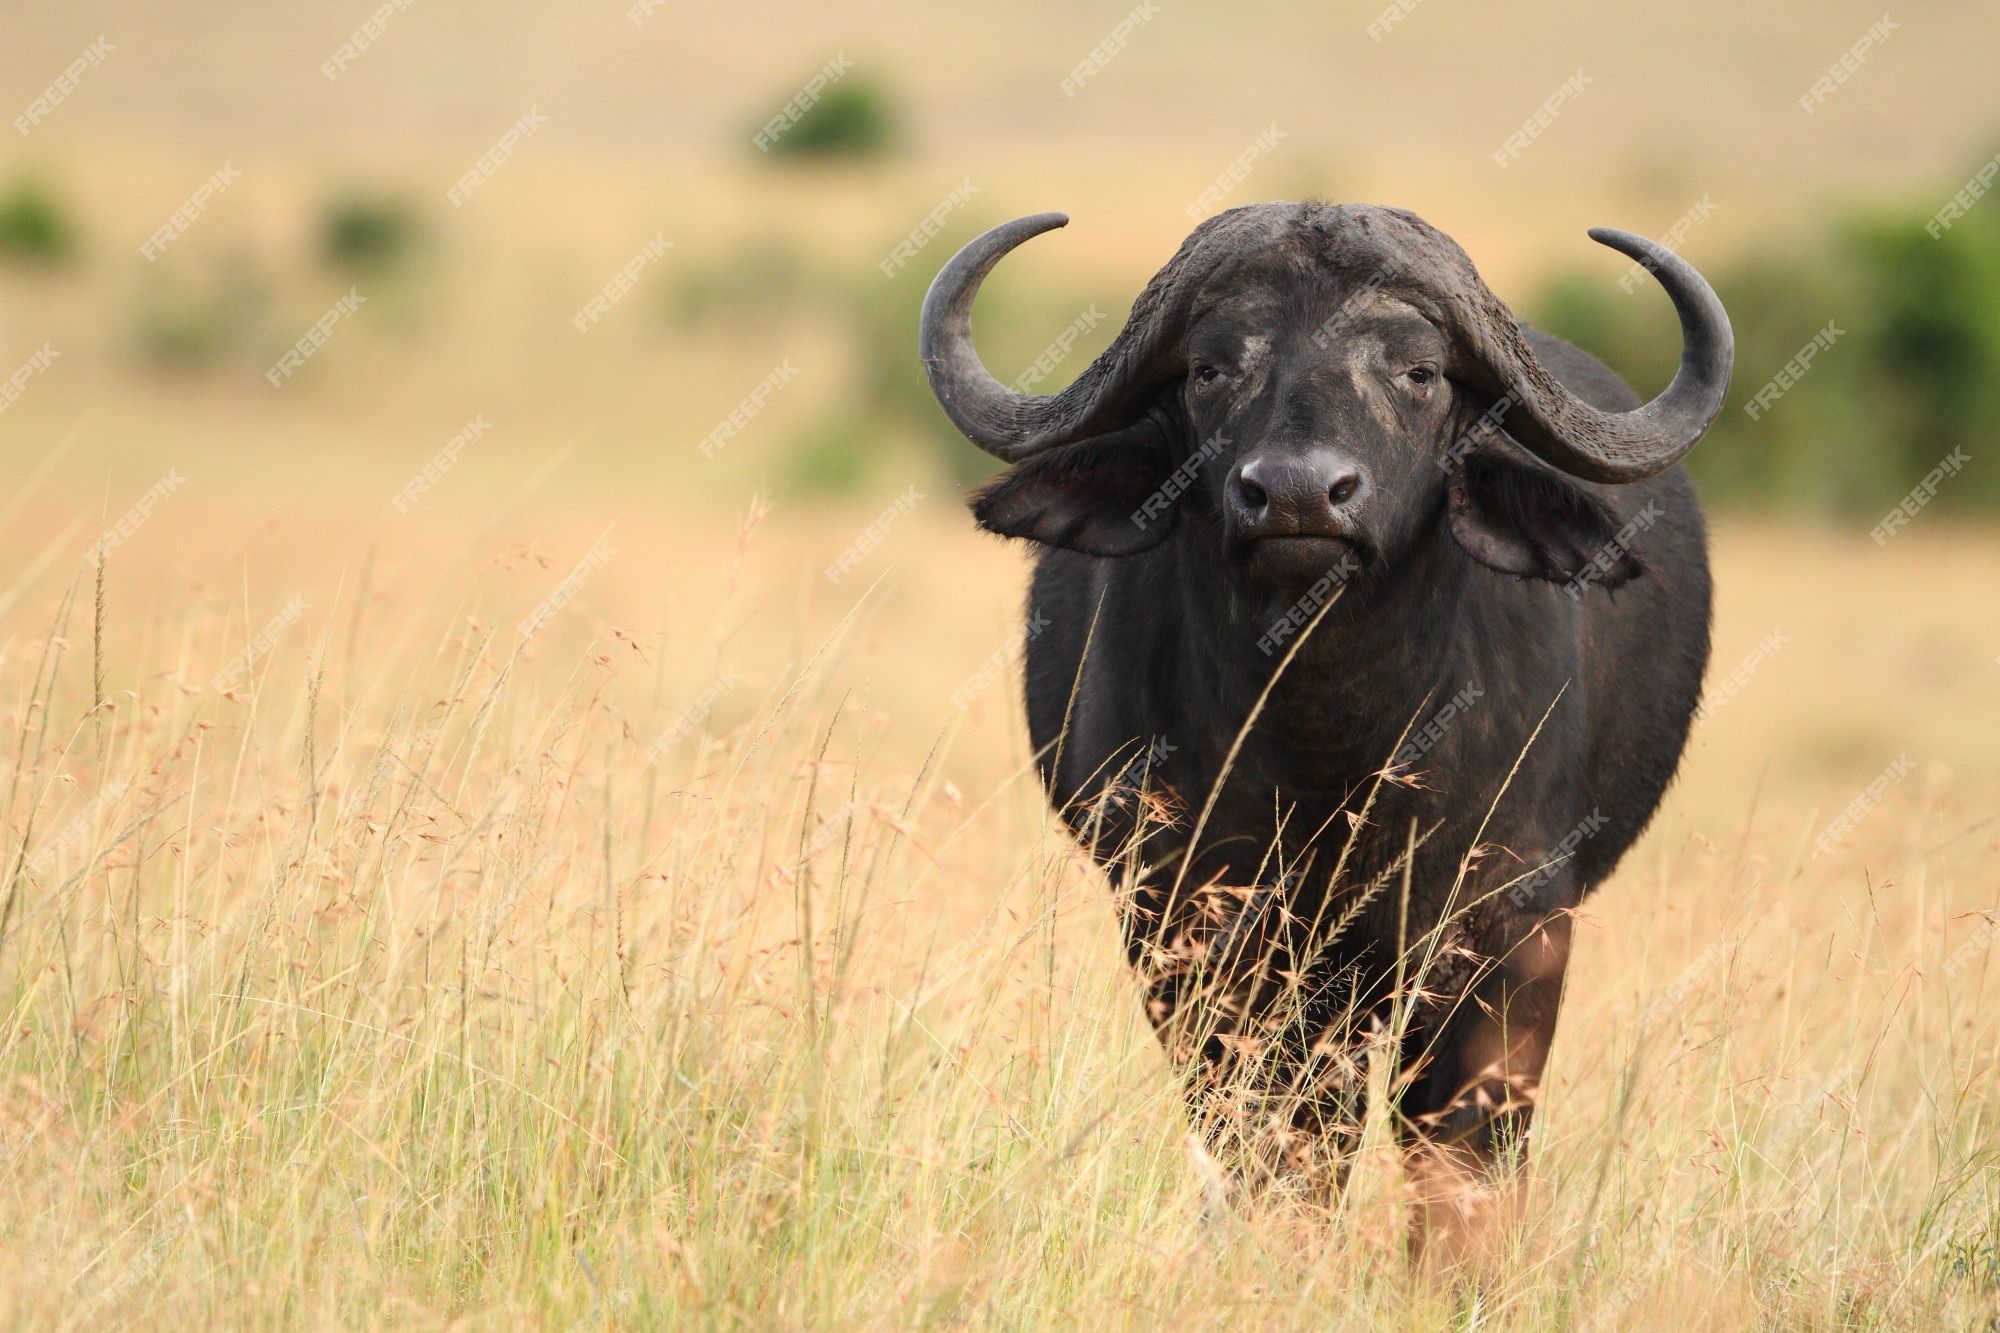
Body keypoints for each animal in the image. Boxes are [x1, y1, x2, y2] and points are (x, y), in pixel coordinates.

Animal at [916, 200, 1728, 1256]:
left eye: (1418, 372)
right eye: (1210, 368)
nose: (1299, 494)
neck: (1330, 746)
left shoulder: (1508, 928)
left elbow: (1461, 1150)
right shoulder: (1187, 928)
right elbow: (1276, 1142)